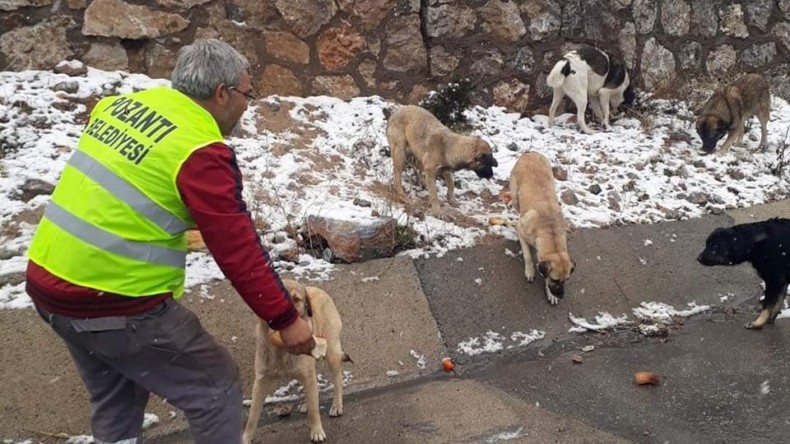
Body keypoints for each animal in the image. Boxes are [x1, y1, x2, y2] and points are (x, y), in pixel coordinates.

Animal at [243, 280, 348, 442]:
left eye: (296, 299)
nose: (286, 316)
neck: (281, 347)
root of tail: (319, 290)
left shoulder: (308, 374)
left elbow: (314, 411)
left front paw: (316, 431)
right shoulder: (261, 381)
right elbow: (252, 418)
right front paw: (245, 438)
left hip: (331, 354)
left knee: (337, 380)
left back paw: (336, 405)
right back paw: (306, 403)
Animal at [510, 153, 580, 306]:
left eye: (566, 280)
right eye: (555, 279)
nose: (561, 295)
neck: (550, 231)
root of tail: (530, 153)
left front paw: (550, 293)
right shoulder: (521, 230)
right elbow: (527, 255)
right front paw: (530, 271)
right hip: (515, 195)